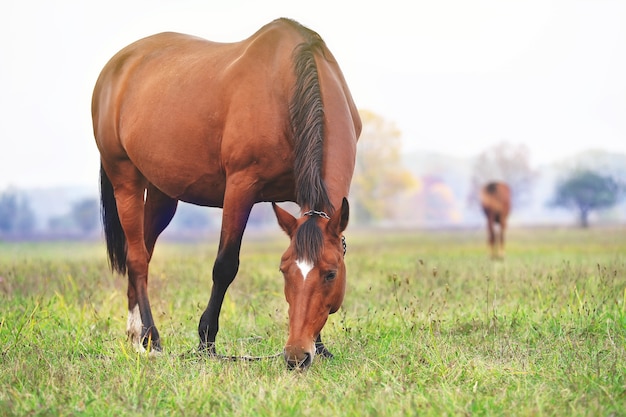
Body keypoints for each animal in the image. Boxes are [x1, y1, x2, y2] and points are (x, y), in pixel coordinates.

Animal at [90, 17, 358, 368]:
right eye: (284, 270)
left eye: (330, 274)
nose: (296, 355)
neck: (289, 84)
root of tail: (116, 66)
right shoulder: (240, 188)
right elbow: (225, 265)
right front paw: (206, 341)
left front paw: (321, 346)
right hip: (125, 178)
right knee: (135, 258)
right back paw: (151, 337)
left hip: (162, 193)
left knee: (144, 254)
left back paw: (136, 336)